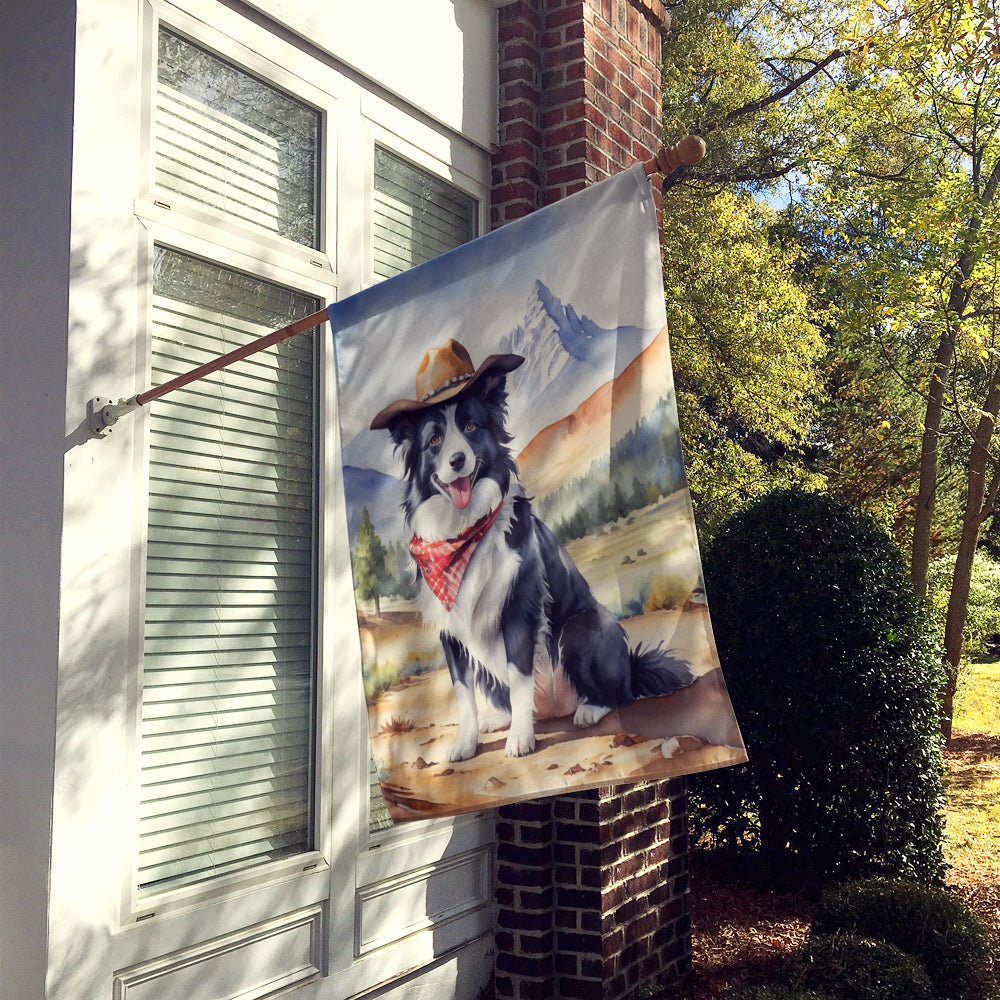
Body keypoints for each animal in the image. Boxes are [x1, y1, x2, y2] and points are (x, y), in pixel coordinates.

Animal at [370, 340, 696, 760]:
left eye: (471, 427)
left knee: (619, 694)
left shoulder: (519, 614)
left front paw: (521, 740)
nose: (457, 461)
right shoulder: (451, 633)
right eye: (434, 441)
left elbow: (521, 679)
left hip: (582, 628)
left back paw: (588, 709)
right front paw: (466, 743)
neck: (464, 532)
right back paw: (501, 719)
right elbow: (462, 694)